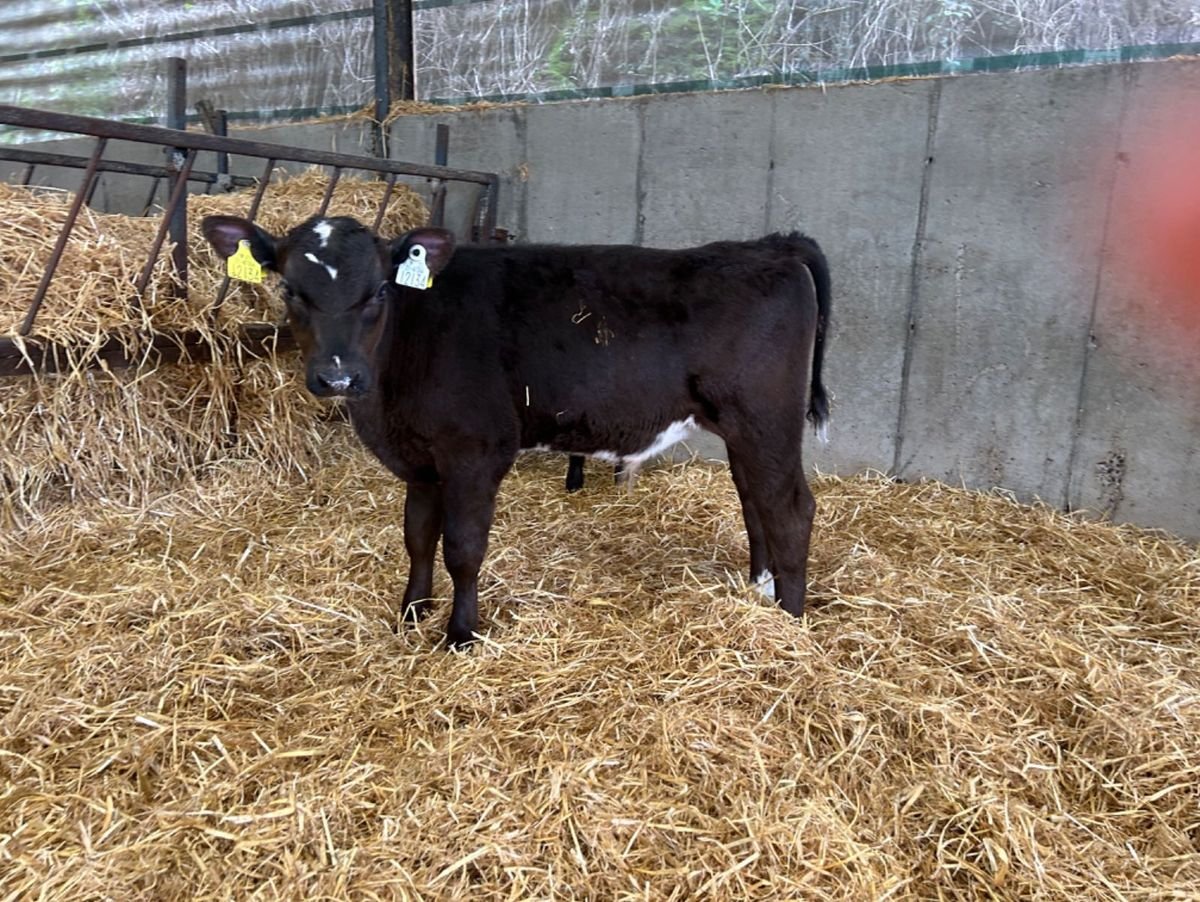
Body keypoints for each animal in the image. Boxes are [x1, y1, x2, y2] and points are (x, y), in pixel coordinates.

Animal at [201, 214, 831, 649]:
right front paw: (411, 612)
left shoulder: (475, 450)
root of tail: (767, 246)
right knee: (754, 498)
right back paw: (759, 589)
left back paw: (790, 620)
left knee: (791, 509)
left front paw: (459, 634)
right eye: (290, 290)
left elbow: (462, 547)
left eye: (379, 291)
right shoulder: (421, 460)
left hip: (765, 417)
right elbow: (417, 535)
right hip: (743, 427)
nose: (338, 376)